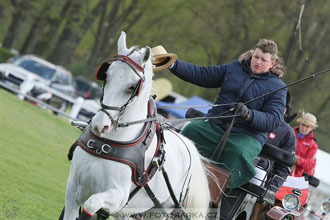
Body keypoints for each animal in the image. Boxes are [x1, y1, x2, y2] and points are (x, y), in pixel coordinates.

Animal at [63, 31, 210, 220]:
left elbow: (92, 203)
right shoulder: (73, 187)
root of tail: (187, 143)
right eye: (106, 75)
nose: (100, 125)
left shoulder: (117, 196)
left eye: (132, 87)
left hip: (160, 210)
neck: (109, 142)